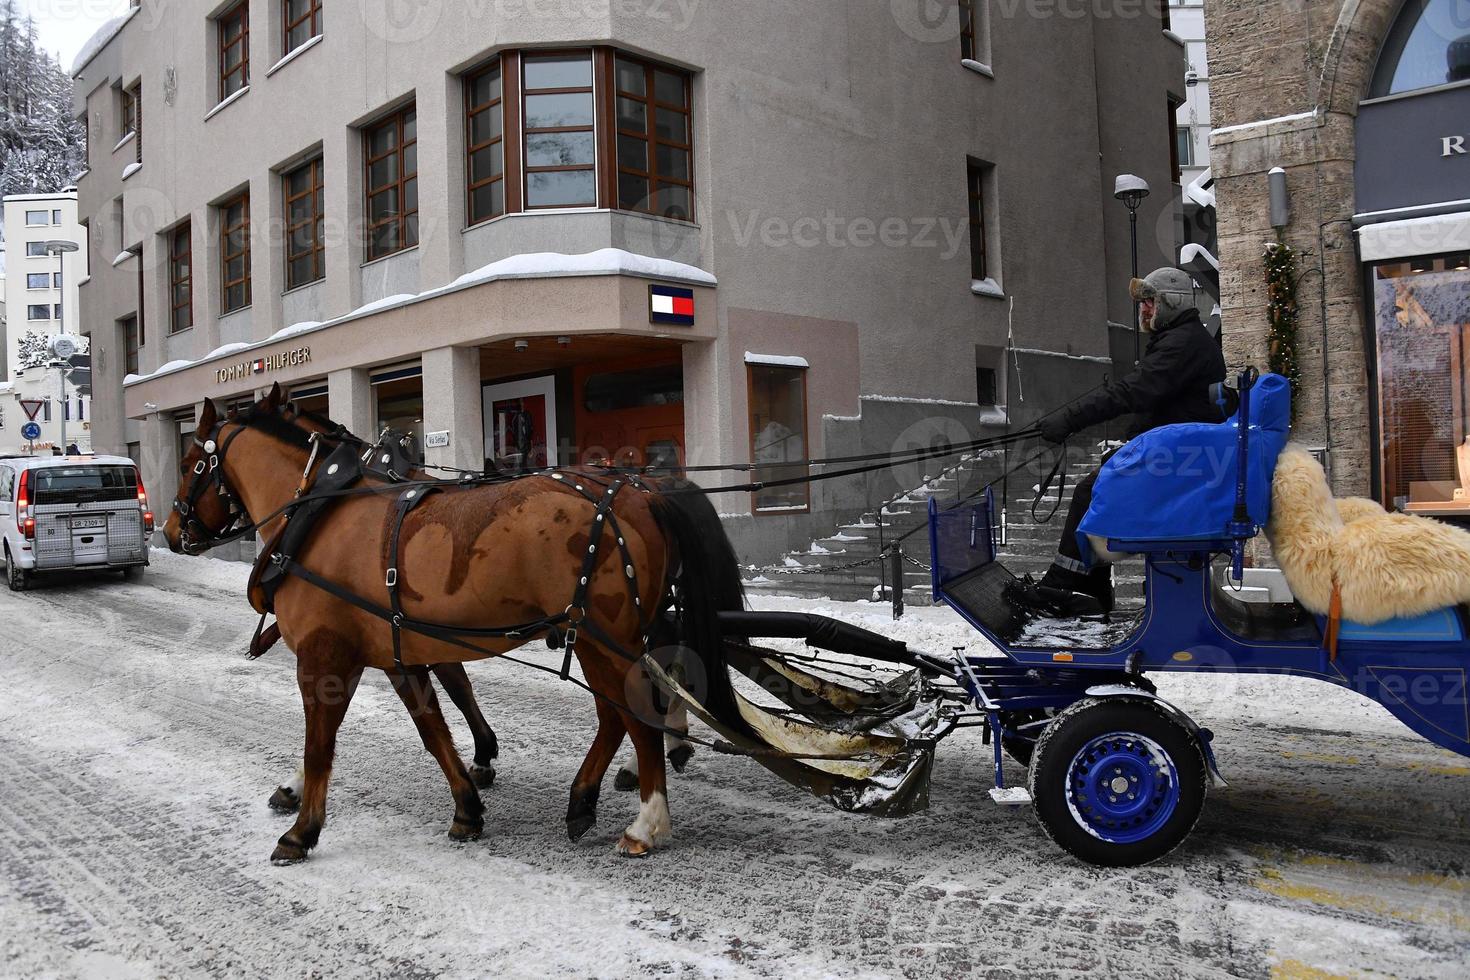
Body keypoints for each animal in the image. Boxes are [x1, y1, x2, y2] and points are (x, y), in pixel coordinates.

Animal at [166, 387, 752, 863]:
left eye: (192, 462)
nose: (171, 531)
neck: (319, 517)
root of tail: (641, 492)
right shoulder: (396, 652)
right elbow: (433, 729)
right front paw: (468, 804)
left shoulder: (324, 656)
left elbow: (320, 744)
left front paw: (301, 830)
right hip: (605, 637)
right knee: (618, 714)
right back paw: (586, 798)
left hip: (604, 637)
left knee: (633, 713)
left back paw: (646, 821)